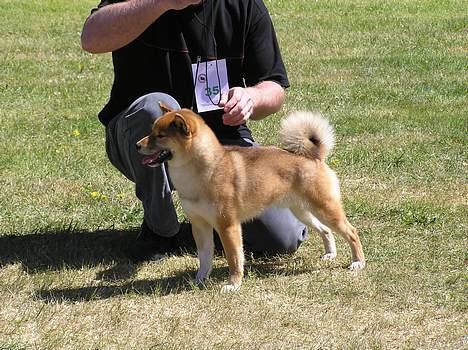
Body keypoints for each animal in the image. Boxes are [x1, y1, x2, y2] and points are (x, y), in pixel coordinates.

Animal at [136, 104, 366, 292]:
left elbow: (235, 259)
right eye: (151, 131)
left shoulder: (228, 226)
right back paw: (330, 254)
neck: (204, 171)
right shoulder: (200, 225)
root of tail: (314, 156)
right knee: (326, 230)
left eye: (160, 135)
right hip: (301, 210)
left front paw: (233, 284)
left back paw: (357, 262)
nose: (137, 145)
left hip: (325, 208)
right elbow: (204, 257)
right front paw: (200, 279)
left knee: (351, 232)